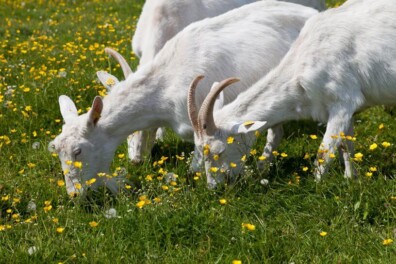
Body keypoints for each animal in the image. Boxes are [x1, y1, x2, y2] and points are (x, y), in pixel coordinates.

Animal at [188, 0, 396, 188]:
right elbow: (346, 145)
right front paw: (351, 178)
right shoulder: (345, 111)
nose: (214, 187)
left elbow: (323, 153)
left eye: (219, 150)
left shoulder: (343, 102)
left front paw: (318, 187)